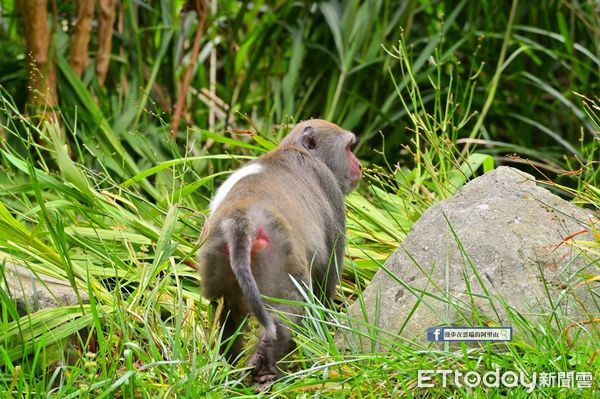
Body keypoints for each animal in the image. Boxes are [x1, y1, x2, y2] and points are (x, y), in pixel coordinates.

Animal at [197, 120, 360, 390]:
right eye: (348, 147)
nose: (359, 165)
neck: (294, 150)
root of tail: (242, 219)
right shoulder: (331, 190)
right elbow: (327, 276)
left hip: (216, 255)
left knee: (226, 310)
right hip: (278, 257)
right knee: (289, 309)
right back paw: (270, 366)